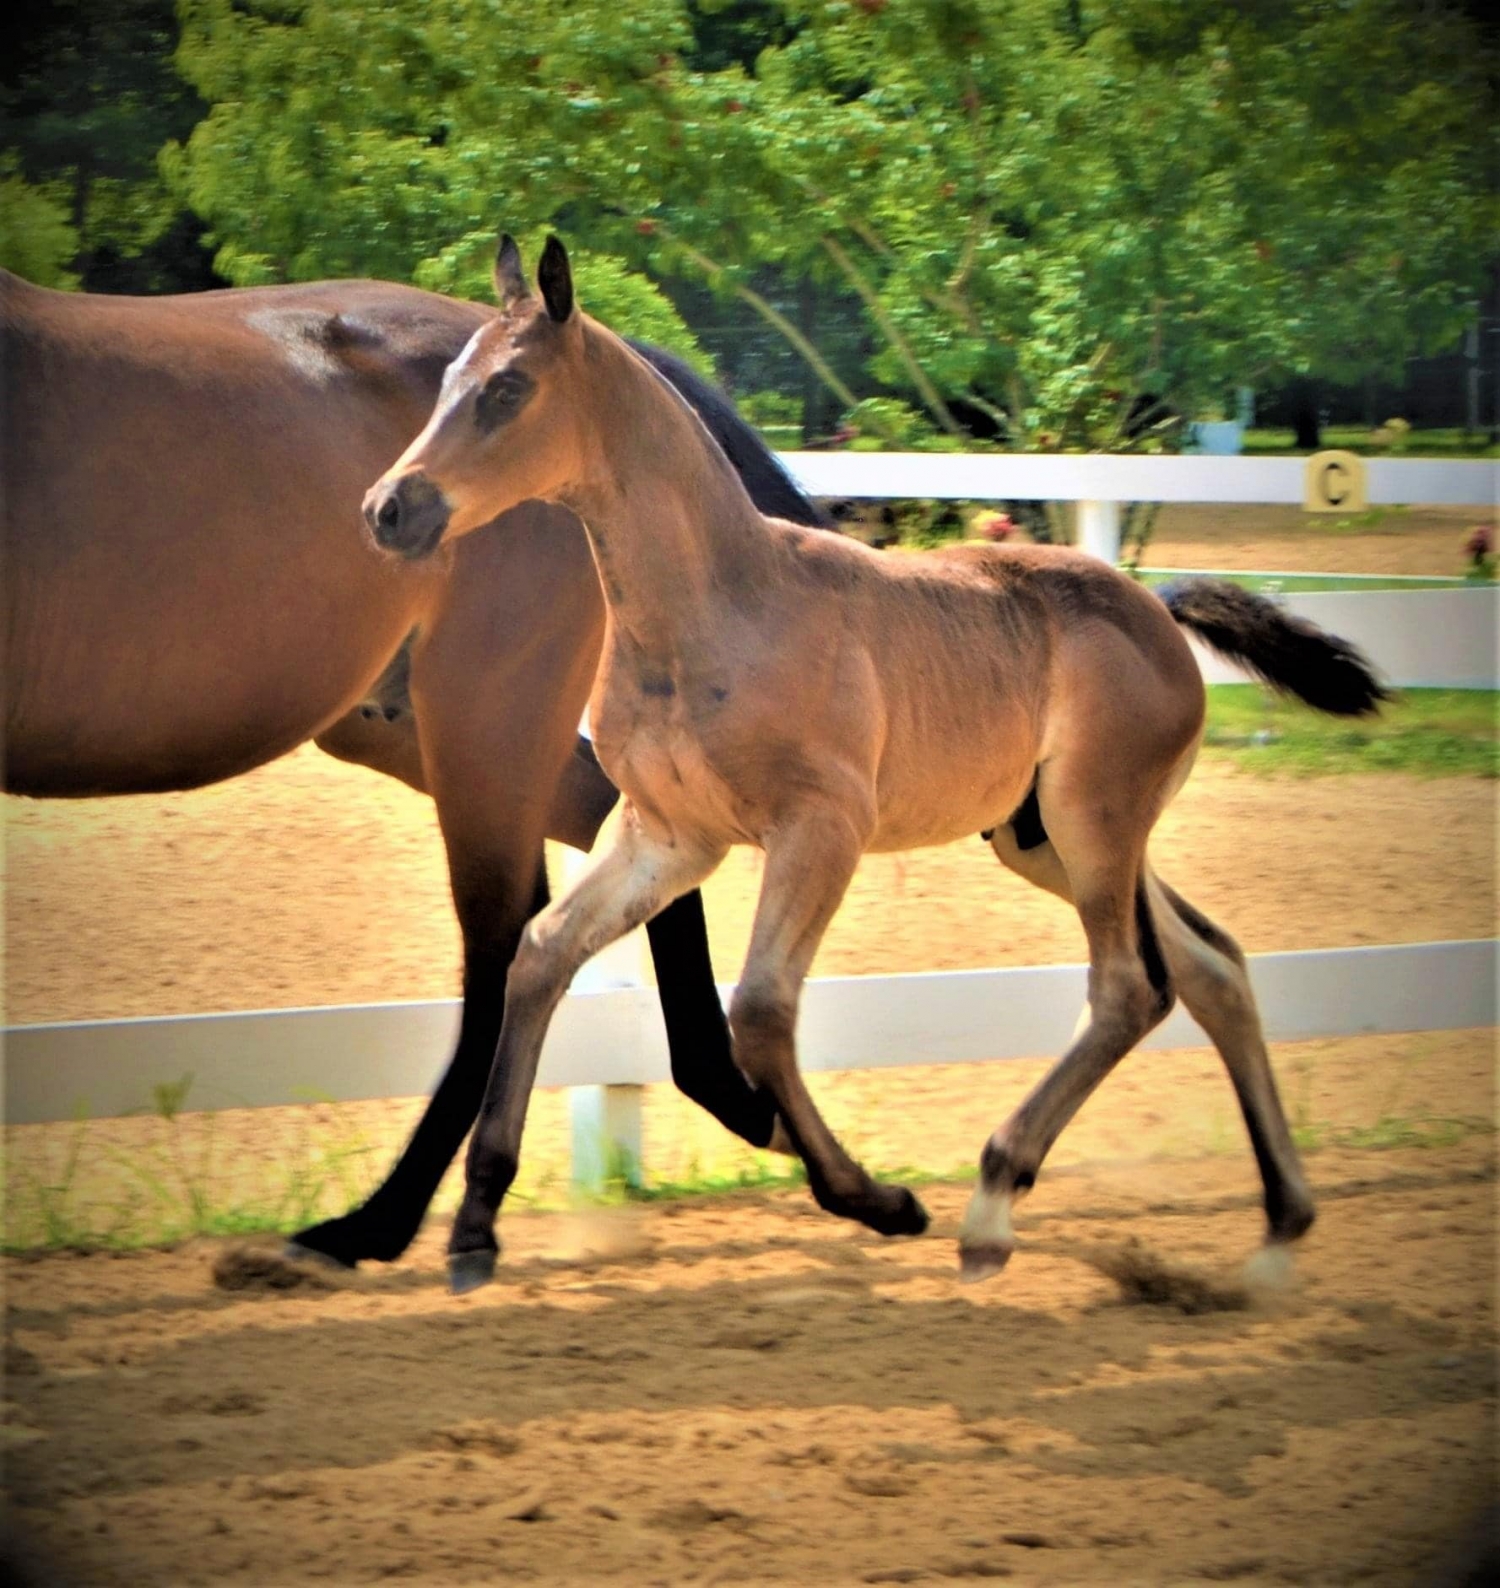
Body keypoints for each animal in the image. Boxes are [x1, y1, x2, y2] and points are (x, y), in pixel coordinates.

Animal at [1, 266, 828, 1266]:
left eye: (499, 396)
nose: (386, 510)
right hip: (406, 727)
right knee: (611, 856)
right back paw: (734, 1096)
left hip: (483, 712)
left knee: (505, 934)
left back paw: (376, 1221)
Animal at [362, 235, 1388, 1291]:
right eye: (449, 379)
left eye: (508, 388)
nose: (388, 509)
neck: (721, 604)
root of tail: (1156, 607)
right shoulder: (670, 837)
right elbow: (541, 954)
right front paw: (475, 1221)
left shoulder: (821, 829)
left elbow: (762, 1012)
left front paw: (876, 1200)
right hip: (1047, 840)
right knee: (1208, 967)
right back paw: (1278, 1229)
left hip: (1094, 823)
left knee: (1127, 989)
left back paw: (992, 1203)